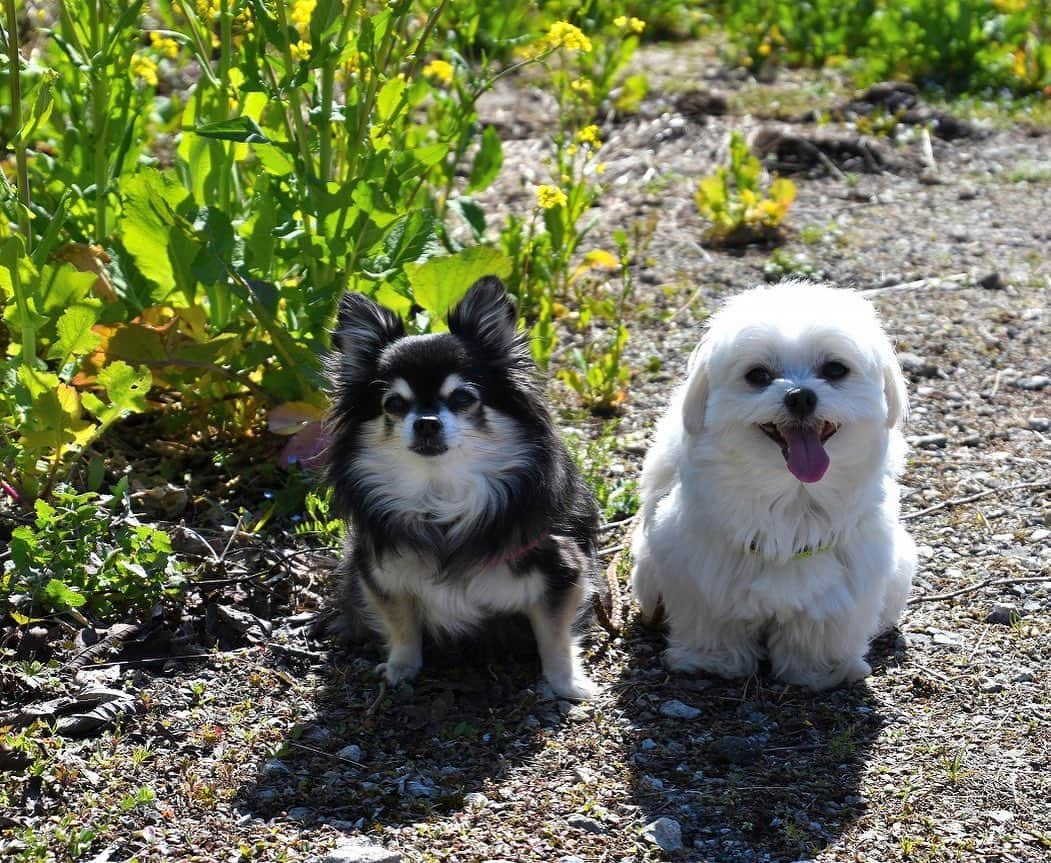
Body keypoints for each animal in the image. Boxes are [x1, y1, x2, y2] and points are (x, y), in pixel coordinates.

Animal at [630, 283, 912, 685]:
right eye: (758, 375)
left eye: (835, 369)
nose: (801, 396)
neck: (794, 495)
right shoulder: (702, 571)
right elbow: (712, 622)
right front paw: (712, 661)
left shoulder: (842, 582)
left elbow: (821, 629)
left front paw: (820, 671)